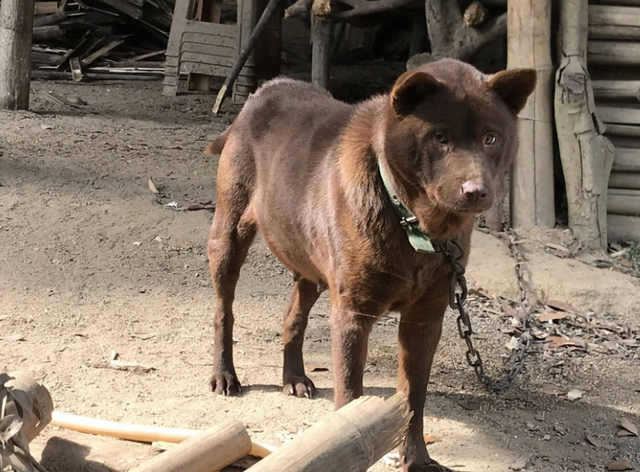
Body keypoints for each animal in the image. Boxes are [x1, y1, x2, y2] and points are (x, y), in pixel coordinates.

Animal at [205, 60, 536, 472]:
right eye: (440, 137)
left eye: (491, 138)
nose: (476, 192)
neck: (415, 225)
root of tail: (265, 90)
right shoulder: (352, 315)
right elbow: (350, 399)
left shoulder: (425, 320)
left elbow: (413, 398)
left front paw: (417, 459)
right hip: (229, 235)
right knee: (224, 310)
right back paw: (224, 374)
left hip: (310, 264)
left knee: (293, 313)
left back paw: (294, 376)